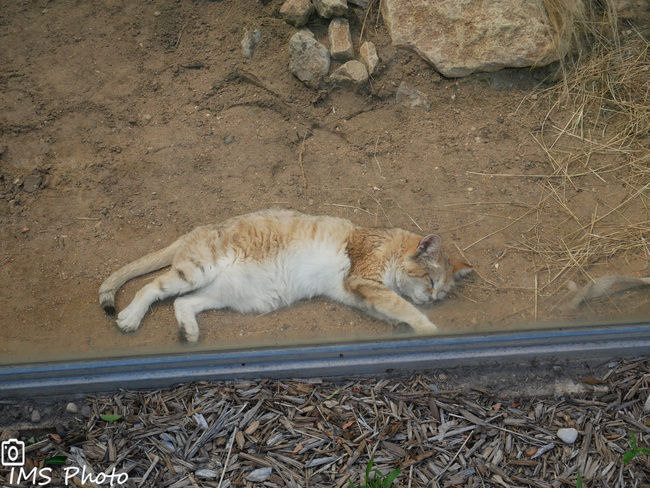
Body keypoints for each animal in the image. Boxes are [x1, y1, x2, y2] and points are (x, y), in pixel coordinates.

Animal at [97, 208, 470, 342]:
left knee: (182, 303)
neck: (390, 244)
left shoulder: (359, 292)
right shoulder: (364, 279)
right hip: (195, 271)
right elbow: (404, 305)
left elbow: (394, 308)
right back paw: (129, 318)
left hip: (225, 294)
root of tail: (199, 228)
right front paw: (430, 328)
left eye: (442, 292)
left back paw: (189, 331)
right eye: (430, 281)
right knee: (150, 287)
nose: (433, 299)